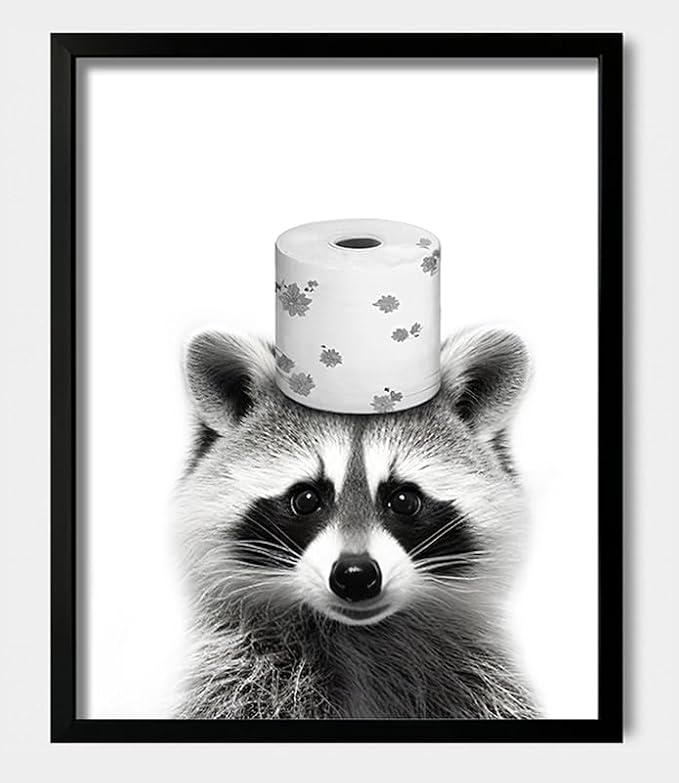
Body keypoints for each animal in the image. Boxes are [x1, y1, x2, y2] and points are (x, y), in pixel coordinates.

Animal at [175, 327, 539, 719]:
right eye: (306, 499)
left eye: (403, 500)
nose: (355, 575)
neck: (357, 632)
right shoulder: (247, 678)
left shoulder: (477, 683)